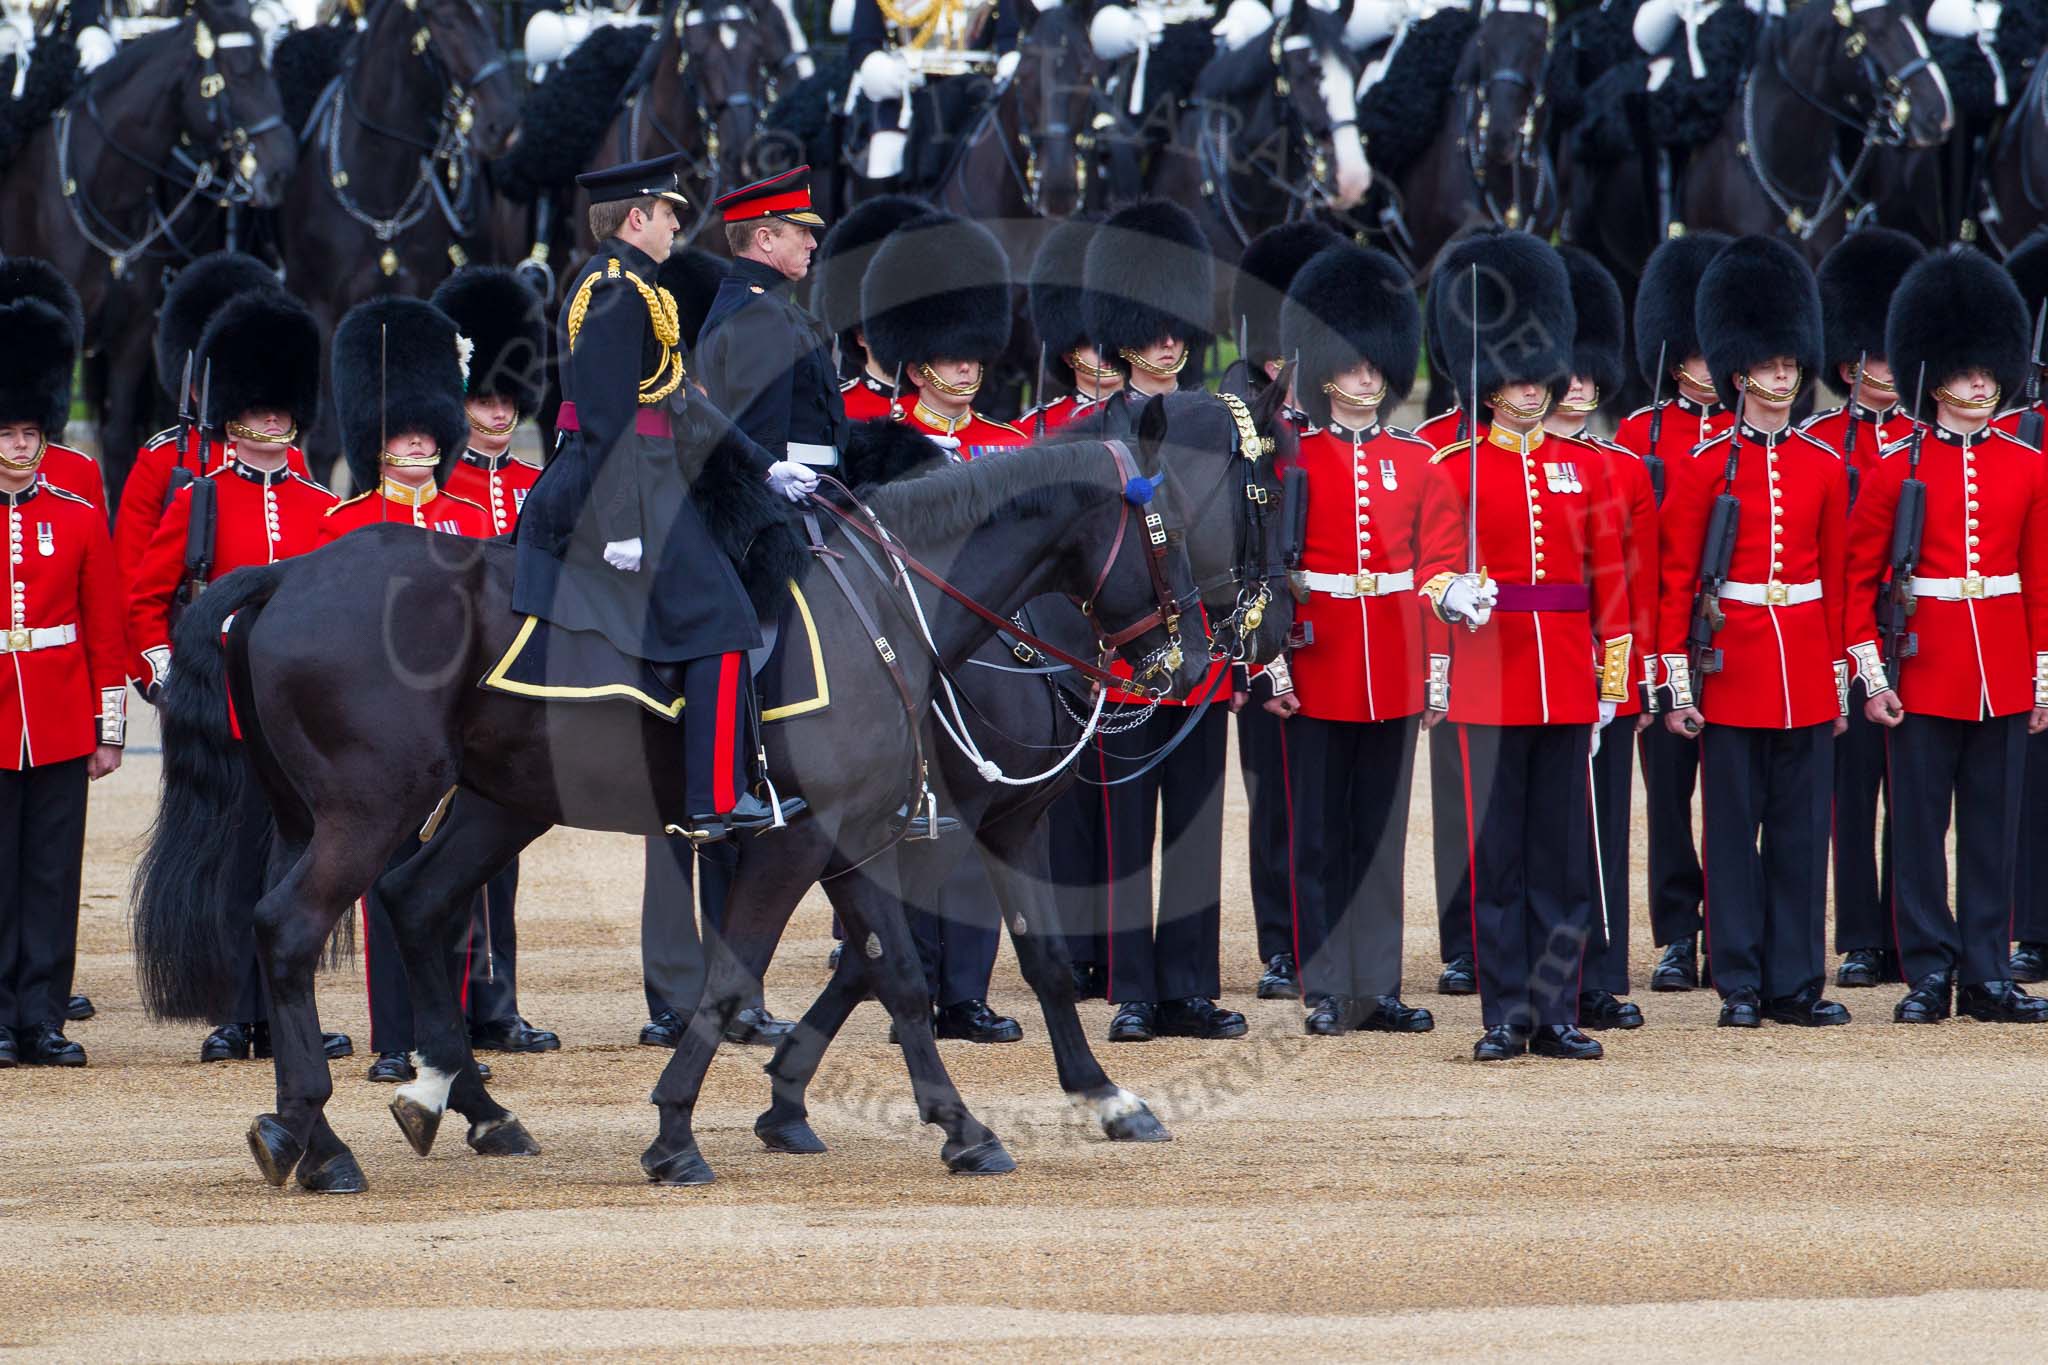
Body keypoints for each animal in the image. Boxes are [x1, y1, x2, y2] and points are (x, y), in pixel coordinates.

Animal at [128, 386, 1269, 1195]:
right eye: (1178, 527)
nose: (1198, 656)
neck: (889, 605)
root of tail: (291, 575)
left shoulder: (858, 834)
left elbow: (901, 974)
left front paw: (968, 1124)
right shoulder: (816, 840)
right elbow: (738, 978)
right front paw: (679, 1131)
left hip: (490, 802)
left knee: (412, 904)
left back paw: (447, 1108)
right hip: (370, 811)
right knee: (287, 927)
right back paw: (319, 1138)